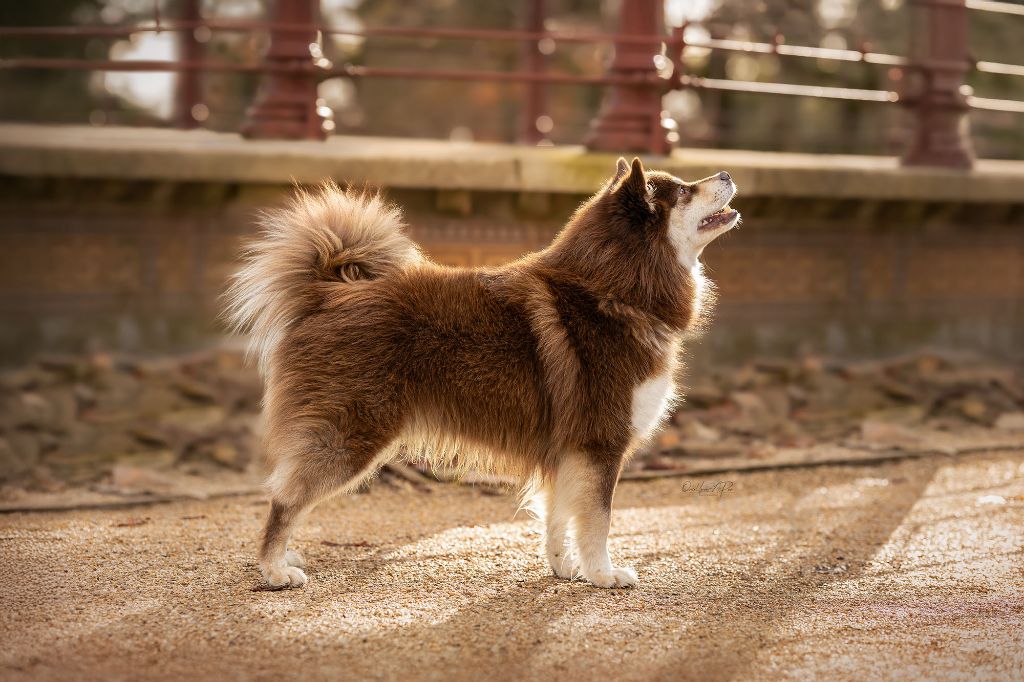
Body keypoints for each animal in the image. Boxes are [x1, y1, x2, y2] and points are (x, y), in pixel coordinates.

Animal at [226, 156, 737, 585]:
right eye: (684, 191)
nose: (727, 174)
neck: (613, 291)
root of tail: (328, 294)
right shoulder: (599, 444)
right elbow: (597, 520)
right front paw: (604, 575)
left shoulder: (568, 450)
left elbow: (558, 517)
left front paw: (564, 567)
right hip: (351, 437)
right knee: (285, 498)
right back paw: (274, 568)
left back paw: (285, 556)